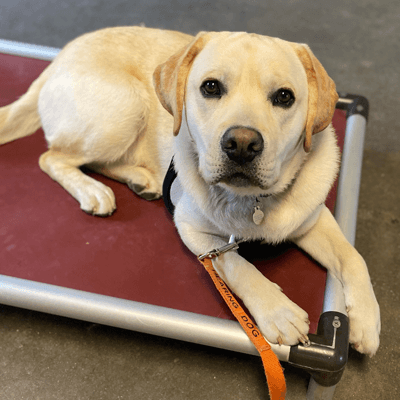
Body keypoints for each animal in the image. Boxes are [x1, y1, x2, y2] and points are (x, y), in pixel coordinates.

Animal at [0, 26, 380, 354]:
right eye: (210, 87)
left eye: (285, 96)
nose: (241, 145)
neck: (252, 203)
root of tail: (58, 58)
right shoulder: (194, 231)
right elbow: (238, 265)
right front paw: (278, 310)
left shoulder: (312, 218)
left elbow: (354, 257)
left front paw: (366, 319)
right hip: (125, 106)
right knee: (52, 156)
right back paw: (93, 190)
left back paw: (141, 180)